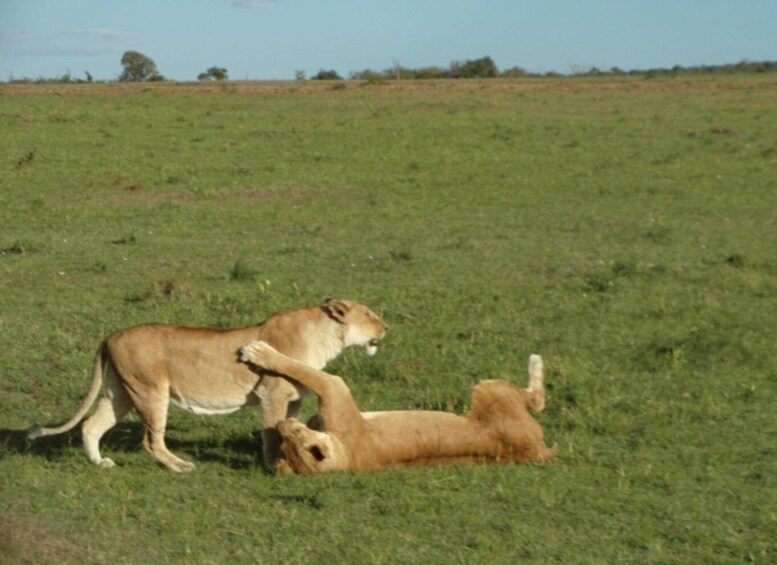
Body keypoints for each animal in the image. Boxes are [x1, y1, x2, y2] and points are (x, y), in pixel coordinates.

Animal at [28, 298, 386, 470]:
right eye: (370, 315)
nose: (386, 328)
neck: (324, 337)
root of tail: (111, 334)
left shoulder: (293, 399)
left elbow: (287, 429)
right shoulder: (272, 393)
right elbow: (271, 433)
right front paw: (272, 466)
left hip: (122, 392)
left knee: (91, 425)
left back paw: (100, 463)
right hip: (150, 392)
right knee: (150, 441)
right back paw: (180, 466)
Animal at [239, 340, 556, 472]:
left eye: (293, 437)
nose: (282, 425)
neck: (348, 457)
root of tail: (538, 451)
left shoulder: (334, 389)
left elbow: (303, 370)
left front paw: (258, 351)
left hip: (488, 388)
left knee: (537, 398)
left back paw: (536, 359)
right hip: (491, 391)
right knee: (536, 400)